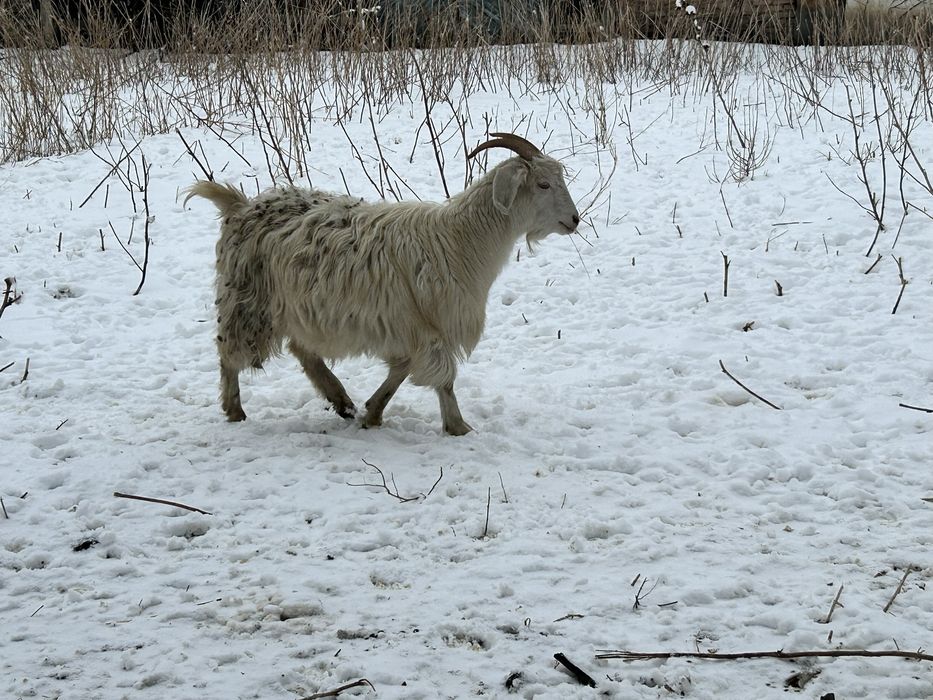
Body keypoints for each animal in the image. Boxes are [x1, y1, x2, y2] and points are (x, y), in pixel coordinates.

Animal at [186, 132, 580, 435]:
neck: (458, 240)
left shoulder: (408, 325)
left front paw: (372, 412)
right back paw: (235, 409)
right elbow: (444, 378)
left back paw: (341, 401)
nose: (574, 220)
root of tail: (239, 205)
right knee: (229, 351)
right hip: (247, 298)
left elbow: (402, 369)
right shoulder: (426, 325)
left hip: (296, 305)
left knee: (303, 349)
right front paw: (458, 426)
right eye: (543, 184)